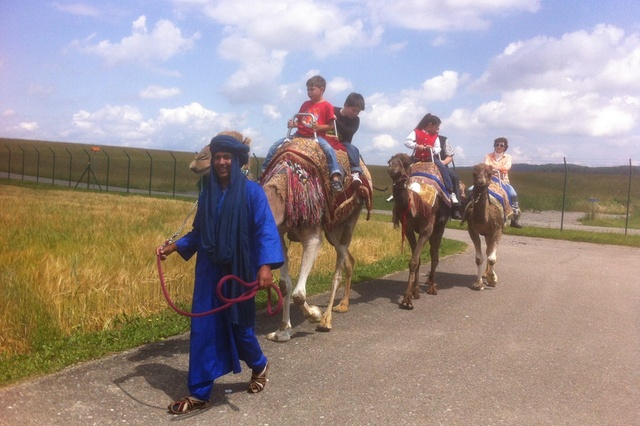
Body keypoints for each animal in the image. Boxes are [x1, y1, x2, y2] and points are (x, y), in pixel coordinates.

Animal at [384, 153, 450, 310]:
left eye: (407, 163)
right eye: (390, 161)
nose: (392, 167)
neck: (415, 202)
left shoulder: (426, 229)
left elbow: (414, 261)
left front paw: (407, 300)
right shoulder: (408, 228)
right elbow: (417, 260)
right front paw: (415, 291)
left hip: (439, 227)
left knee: (435, 255)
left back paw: (432, 287)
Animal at [460, 162, 510, 290]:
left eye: (489, 173)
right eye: (474, 173)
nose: (481, 181)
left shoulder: (498, 229)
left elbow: (492, 258)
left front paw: (493, 279)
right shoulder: (472, 230)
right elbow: (479, 258)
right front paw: (478, 283)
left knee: (490, 252)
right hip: (487, 234)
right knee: (488, 250)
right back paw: (485, 274)